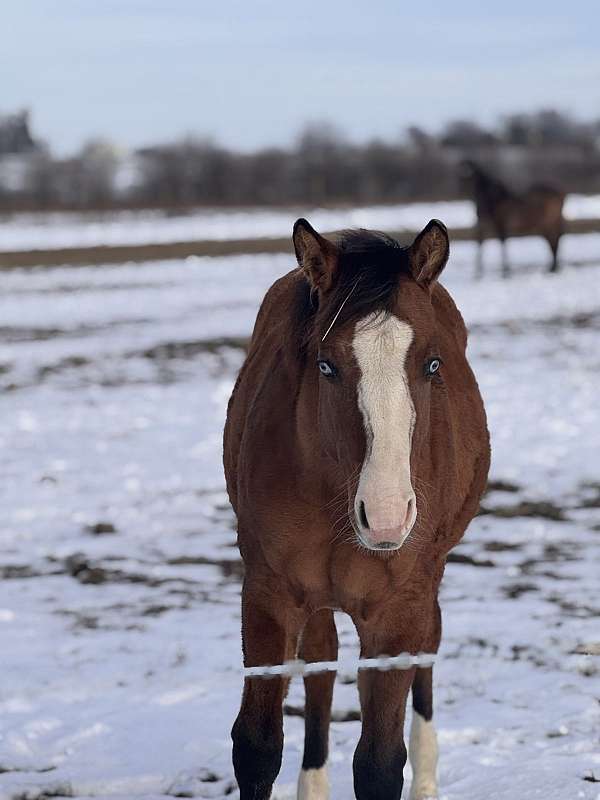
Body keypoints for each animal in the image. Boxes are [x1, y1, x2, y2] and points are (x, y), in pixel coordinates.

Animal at [223, 217, 490, 800]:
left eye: (432, 364)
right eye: (326, 365)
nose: (386, 516)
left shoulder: (397, 610)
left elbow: (379, 764)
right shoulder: (269, 591)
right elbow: (256, 748)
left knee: (428, 650)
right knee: (322, 665)